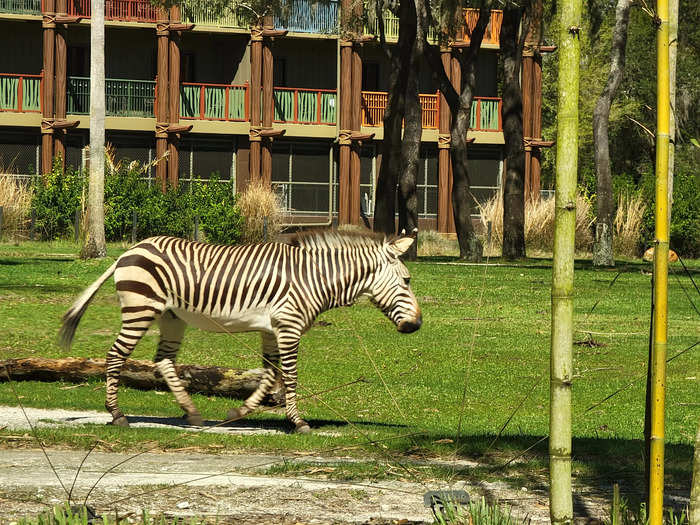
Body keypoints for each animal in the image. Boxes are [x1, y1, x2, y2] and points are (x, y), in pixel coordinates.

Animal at [58, 231, 422, 432]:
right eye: (407, 280)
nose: (417, 325)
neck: (315, 278)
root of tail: (130, 251)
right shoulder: (289, 326)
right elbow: (290, 375)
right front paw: (298, 422)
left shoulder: (272, 329)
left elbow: (270, 374)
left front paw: (239, 412)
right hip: (140, 308)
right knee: (115, 356)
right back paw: (117, 415)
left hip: (172, 317)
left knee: (163, 361)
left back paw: (191, 412)